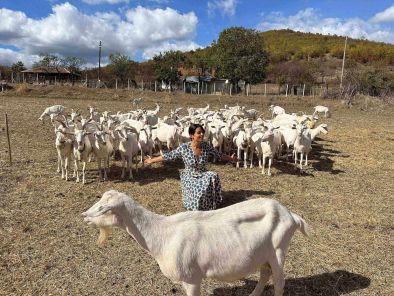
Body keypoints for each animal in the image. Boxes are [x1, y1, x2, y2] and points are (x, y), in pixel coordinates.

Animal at [83, 190, 310, 296]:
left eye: (104, 208)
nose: (85, 216)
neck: (162, 233)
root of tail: (291, 215)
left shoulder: (191, 278)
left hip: (279, 250)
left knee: (279, 281)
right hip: (264, 254)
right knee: (265, 274)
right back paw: (253, 293)